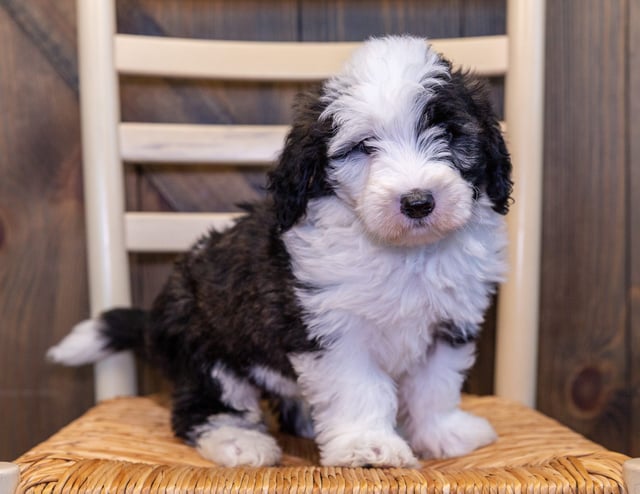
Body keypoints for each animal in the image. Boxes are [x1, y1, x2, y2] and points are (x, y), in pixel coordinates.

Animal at [47, 36, 512, 468]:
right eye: (364, 146)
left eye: (449, 133)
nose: (417, 202)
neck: (401, 252)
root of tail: (153, 323)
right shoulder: (332, 327)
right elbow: (359, 387)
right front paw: (368, 445)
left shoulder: (449, 322)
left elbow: (435, 385)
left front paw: (442, 433)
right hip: (206, 349)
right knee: (201, 409)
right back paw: (239, 442)